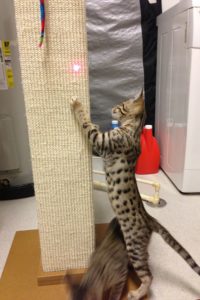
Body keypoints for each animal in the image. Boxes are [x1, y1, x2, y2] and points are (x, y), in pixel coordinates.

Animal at [70, 92, 200, 300]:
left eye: (121, 105)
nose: (112, 107)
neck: (134, 129)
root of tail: (150, 218)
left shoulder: (101, 140)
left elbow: (87, 124)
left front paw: (77, 104)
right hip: (138, 249)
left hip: (134, 247)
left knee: (149, 276)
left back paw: (137, 293)